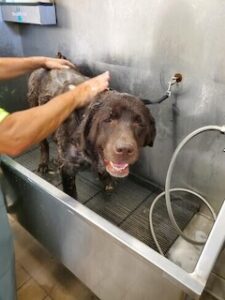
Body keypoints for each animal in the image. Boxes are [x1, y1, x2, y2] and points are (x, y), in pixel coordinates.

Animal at [27, 56, 156, 198]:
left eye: (140, 123)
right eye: (108, 119)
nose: (125, 150)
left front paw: (107, 181)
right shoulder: (68, 169)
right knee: (44, 144)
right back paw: (44, 163)